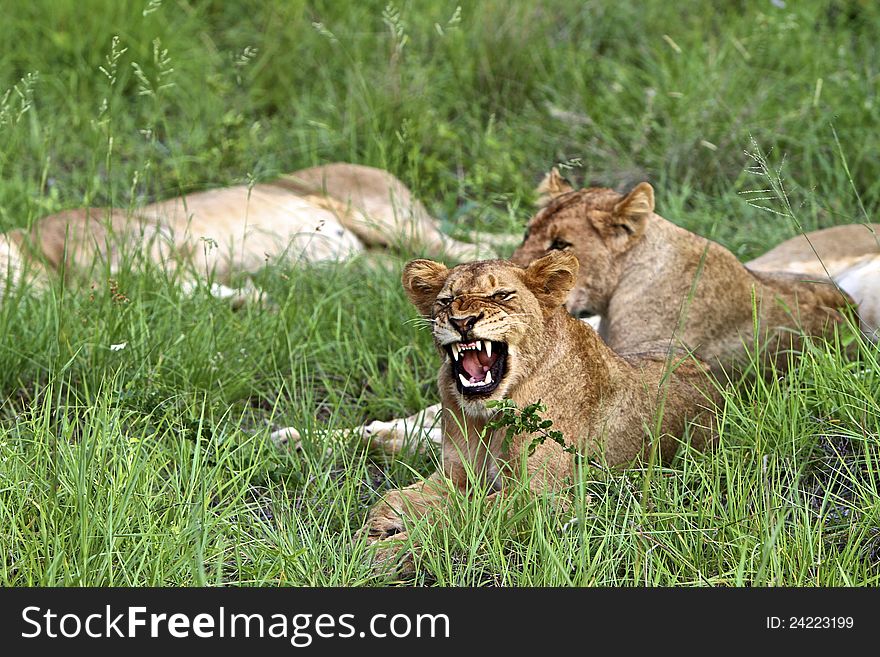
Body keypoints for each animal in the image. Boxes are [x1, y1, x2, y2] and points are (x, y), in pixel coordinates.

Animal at [358, 251, 720, 548]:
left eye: (501, 296)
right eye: (447, 301)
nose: (461, 322)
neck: (490, 415)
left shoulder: (544, 496)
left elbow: (458, 517)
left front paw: (382, 552)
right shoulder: (456, 475)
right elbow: (393, 497)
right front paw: (373, 528)